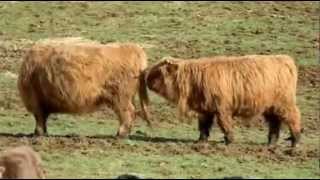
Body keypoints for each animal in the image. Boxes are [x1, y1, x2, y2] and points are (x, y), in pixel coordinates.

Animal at [18, 39, 151, 138]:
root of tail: (132, 48)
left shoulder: (35, 100)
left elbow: (39, 118)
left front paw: (38, 133)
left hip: (120, 96)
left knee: (127, 112)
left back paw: (120, 134)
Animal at [146, 55, 302, 148]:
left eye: (157, 72)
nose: (146, 79)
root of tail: (285, 59)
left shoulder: (222, 108)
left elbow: (224, 124)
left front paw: (229, 141)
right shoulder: (205, 110)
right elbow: (203, 126)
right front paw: (201, 141)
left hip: (285, 104)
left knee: (293, 118)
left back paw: (295, 141)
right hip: (271, 107)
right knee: (275, 124)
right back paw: (271, 143)